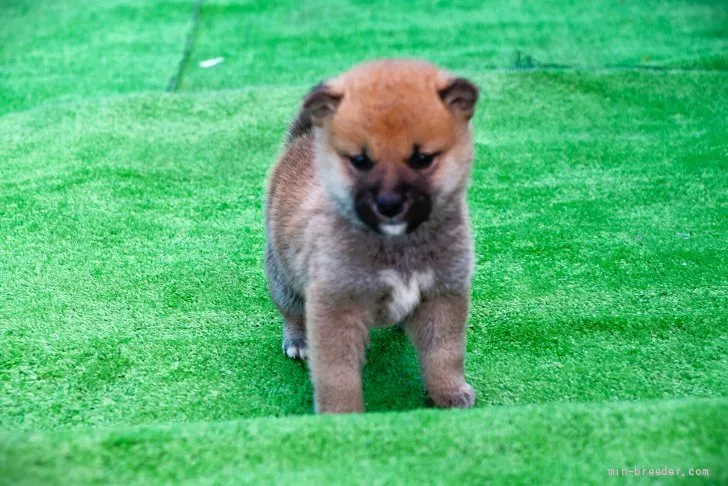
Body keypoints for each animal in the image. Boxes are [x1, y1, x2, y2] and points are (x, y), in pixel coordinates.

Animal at [264, 58, 480, 412]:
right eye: (361, 161)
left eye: (422, 159)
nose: (389, 203)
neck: (397, 245)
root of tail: (303, 140)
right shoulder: (336, 304)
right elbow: (337, 375)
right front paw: (343, 413)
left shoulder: (443, 293)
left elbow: (444, 354)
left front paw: (449, 391)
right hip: (282, 273)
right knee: (291, 310)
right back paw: (297, 340)